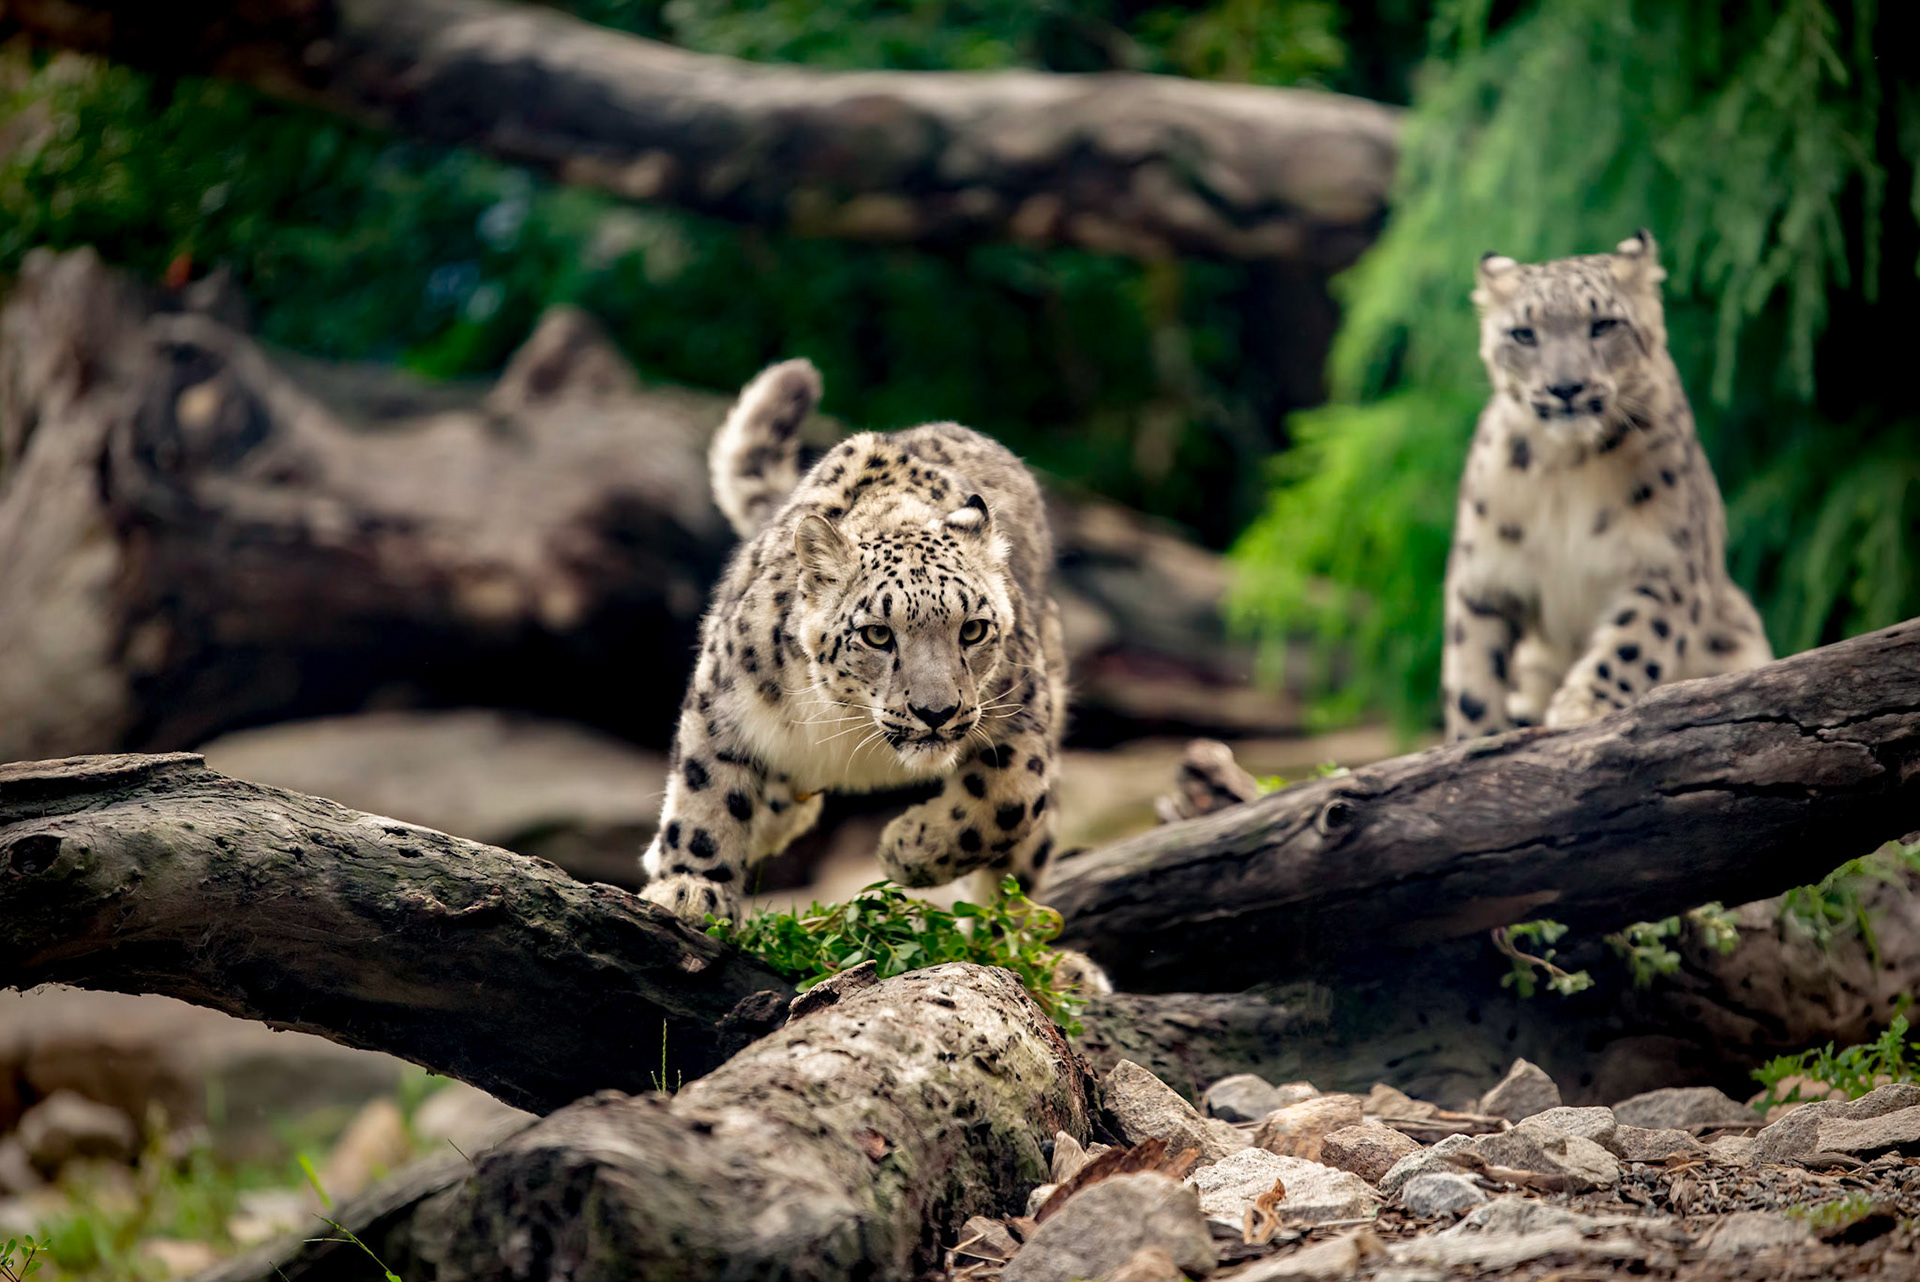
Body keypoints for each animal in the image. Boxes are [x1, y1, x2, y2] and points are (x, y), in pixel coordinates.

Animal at [640, 357, 1069, 928]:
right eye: (877, 634)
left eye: (973, 629)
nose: (936, 712)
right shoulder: (723, 700)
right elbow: (707, 788)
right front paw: (691, 888)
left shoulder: (1024, 713)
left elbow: (1010, 802)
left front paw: (907, 848)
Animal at [1442, 229, 1772, 742]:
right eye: (1523, 333)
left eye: (1604, 324)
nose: (1565, 387)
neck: (1567, 466)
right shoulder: (1484, 574)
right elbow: (1472, 674)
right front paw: (1473, 741)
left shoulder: (1667, 562)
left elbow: (1632, 640)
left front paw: (1582, 707)